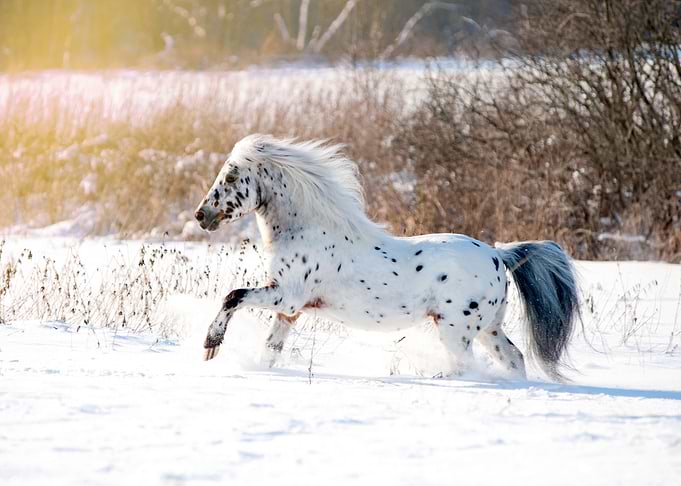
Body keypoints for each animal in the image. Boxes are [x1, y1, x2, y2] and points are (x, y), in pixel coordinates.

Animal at [194, 135, 580, 380]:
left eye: (231, 176)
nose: (201, 215)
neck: (307, 229)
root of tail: (500, 255)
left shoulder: (285, 296)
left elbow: (233, 296)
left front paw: (210, 347)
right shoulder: (290, 311)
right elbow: (271, 349)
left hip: (456, 329)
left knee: (465, 366)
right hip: (489, 327)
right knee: (513, 359)